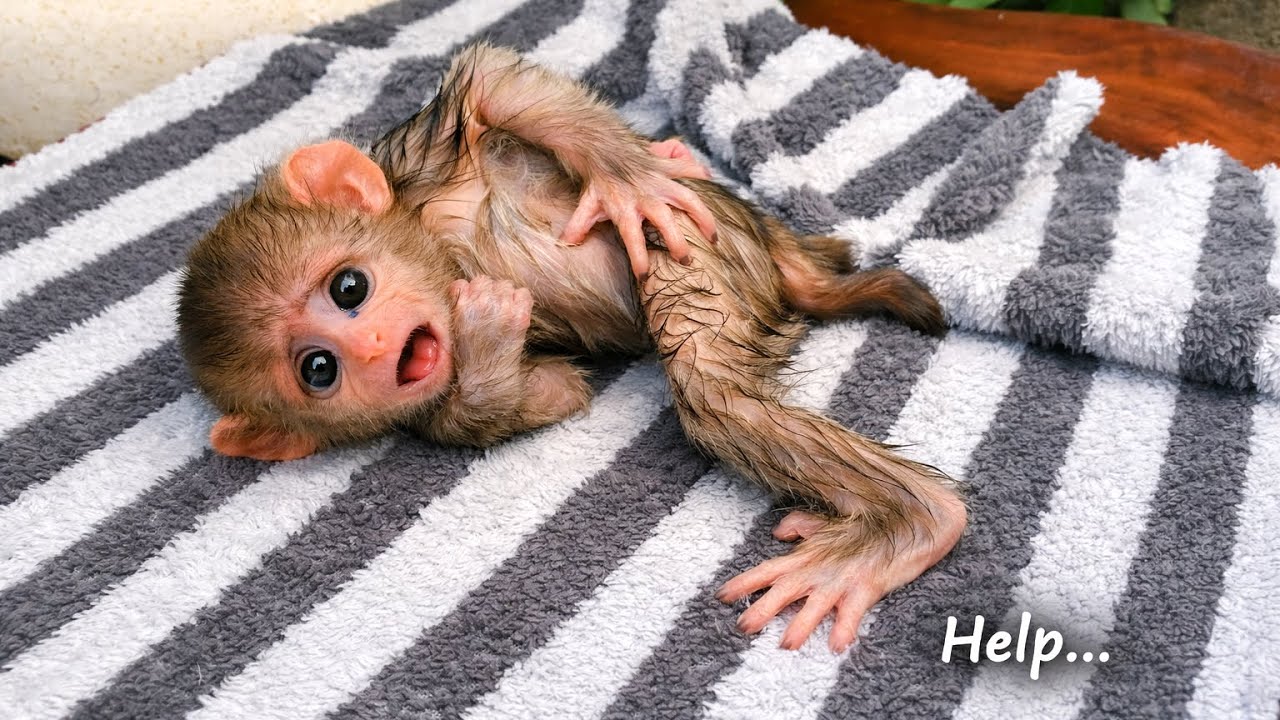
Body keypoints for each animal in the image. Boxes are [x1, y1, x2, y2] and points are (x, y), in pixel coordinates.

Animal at [176, 43, 967, 653]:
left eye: (348, 287)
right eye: (319, 369)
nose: (373, 345)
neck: (439, 253)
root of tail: (780, 259)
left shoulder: (419, 158)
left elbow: (493, 84)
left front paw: (629, 175)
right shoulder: (432, 406)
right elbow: (546, 392)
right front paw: (490, 331)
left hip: (697, 246)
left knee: (708, 381)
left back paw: (920, 522)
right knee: (717, 393)